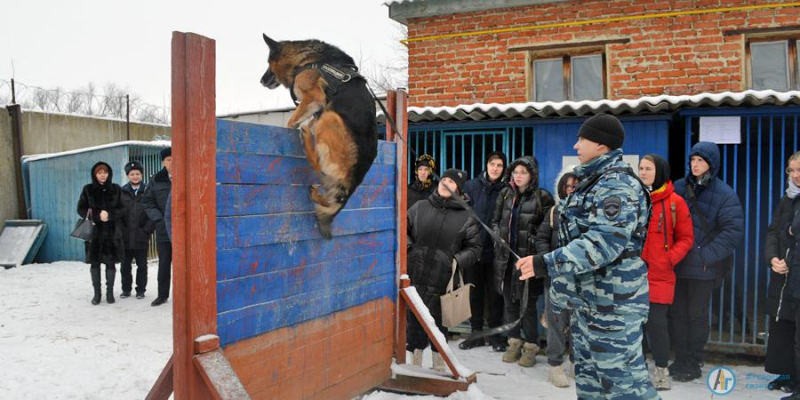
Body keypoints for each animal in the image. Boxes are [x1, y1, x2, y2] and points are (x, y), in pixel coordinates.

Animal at [260, 34, 378, 238]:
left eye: (268, 63)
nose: (261, 80)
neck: (306, 59)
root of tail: (353, 181)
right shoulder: (316, 108)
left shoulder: (313, 98)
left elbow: (291, 120)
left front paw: (291, 126)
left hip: (330, 117)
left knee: (319, 167)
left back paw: (307, 135)